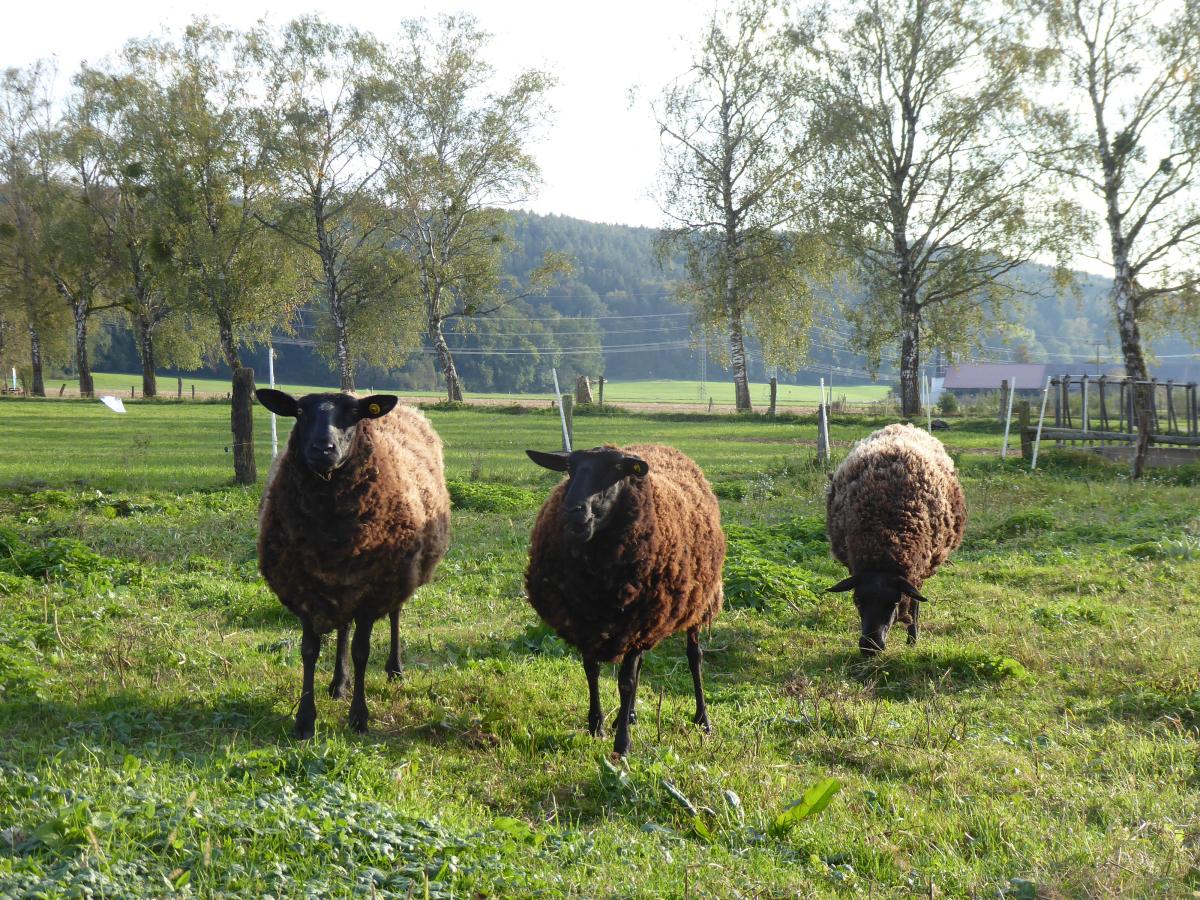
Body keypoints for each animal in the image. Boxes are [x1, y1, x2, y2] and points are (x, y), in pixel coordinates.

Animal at [256, 389, 450, 738]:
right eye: (300, 411)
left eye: (354, 414)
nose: (323, 448)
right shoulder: (303, 590)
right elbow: (309, 652)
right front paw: (305, 720)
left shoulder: (373, 593)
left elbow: (362, 651)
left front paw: (359, 717)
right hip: (342, 584)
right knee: (343, 628)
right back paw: (338, 683)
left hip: (395, 577)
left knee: (395, 615)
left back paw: (394, 669)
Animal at [524, 444, 725, 757]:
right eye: (569, 468)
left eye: (617, 469)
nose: (573, 511)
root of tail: (664, 447)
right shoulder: (586, 620)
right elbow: (592, 671)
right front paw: (597, 725)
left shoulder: (637, 620)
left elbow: (626, 683)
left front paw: (622, 745)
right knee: (641, 662)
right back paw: (628, 715)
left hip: (696, 602)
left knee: (695, 657)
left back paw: (702, 719)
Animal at [825, 423, 966, 656]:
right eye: (857, 600)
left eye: (894, 602)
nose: (870, 647)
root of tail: (902, 425)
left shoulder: (916, 573)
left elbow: (915, 604)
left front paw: (913, 640)